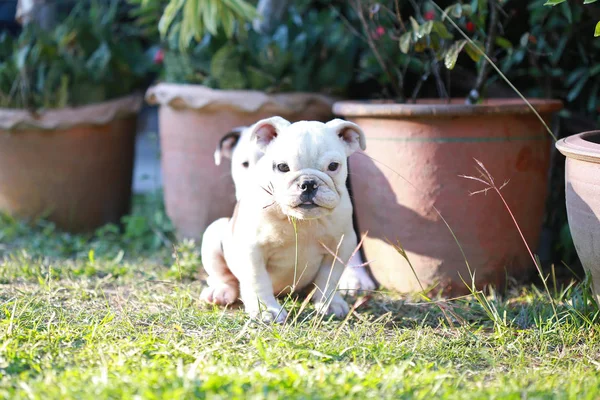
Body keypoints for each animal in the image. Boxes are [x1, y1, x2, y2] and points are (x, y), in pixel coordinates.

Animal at [202, 117, 370, 324]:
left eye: (333, 166)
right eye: (282, 167)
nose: (308, 183)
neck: (301, 220)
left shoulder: (340, 247)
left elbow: (328, 278)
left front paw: (329, 303)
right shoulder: (252, 249)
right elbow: (258, 280)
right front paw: (267, 310)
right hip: (214, 233)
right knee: (225, 276)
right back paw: (221, 291)